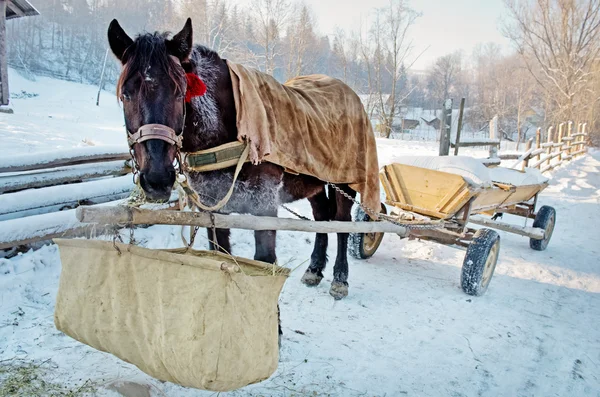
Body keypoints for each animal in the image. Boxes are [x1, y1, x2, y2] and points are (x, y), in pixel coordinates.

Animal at [106, 17, 360, 298]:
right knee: (321, 217)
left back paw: (340, 278)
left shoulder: (264, 207)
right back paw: (314, 269)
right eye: (126, 94)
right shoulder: (213, 209)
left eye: (178, 92)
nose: (157, 179)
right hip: (312, 181)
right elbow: (221, 255)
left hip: (346, 182)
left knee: (343, 224)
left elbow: (265, 261)